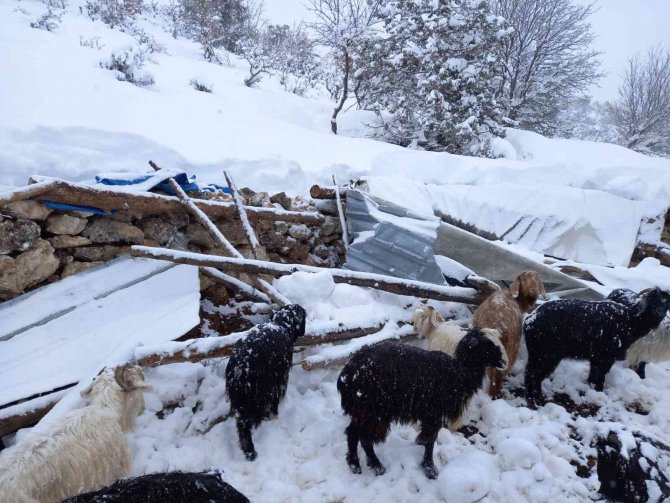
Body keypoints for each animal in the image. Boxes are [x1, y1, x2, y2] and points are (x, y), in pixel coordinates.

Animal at [227, 304, 308, 460]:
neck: (280, 324)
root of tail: (241, 367)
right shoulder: (279, 379)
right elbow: (275, 401)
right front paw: (274, 416)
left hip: (240, 399)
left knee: (241, 423)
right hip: (260, 392)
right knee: (246, 422)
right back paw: (251, 451)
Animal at [338, 330, 506, 480]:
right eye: (487, 346)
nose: (504, 362)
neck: (459, 372)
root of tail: (345, 375)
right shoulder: (434, 413)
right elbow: (430, 440)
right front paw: (429, 468)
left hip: (366, 411)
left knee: (357, 434)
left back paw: (361, 464)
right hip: (371, 410)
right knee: (360, 435)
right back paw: (370, 465)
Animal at [524, 288, 670, 406]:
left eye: (666, 304)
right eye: (652, 301)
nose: (658, 313)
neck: (629, 321)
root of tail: (530, 320)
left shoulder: (597, 358)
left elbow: (594, 376)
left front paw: (593, 390)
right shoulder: (605, 358)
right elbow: (600, 376)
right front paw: (600, 393)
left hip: (537, 353)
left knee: (530, 373)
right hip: (546, 354)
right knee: (534, 374)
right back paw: (536, 398)